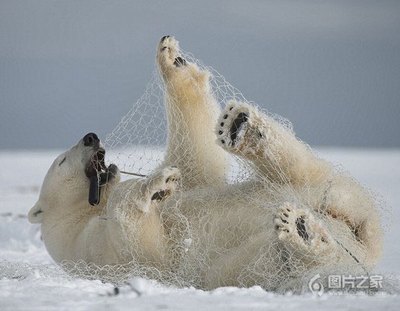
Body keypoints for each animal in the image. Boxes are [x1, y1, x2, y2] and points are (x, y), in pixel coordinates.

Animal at [28, 36, 382, 292]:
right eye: (61, 161)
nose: (90, 137)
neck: (81, 215)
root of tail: (361, 251)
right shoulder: (95, 249)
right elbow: (145, 242)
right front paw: (156, 185)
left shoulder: (193, 180)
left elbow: (196, 160)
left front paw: (172, 60)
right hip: (240, 264)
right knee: (273, 260)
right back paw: (300, 233)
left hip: (328, 193)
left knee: (304, 172)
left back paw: (243, 129)